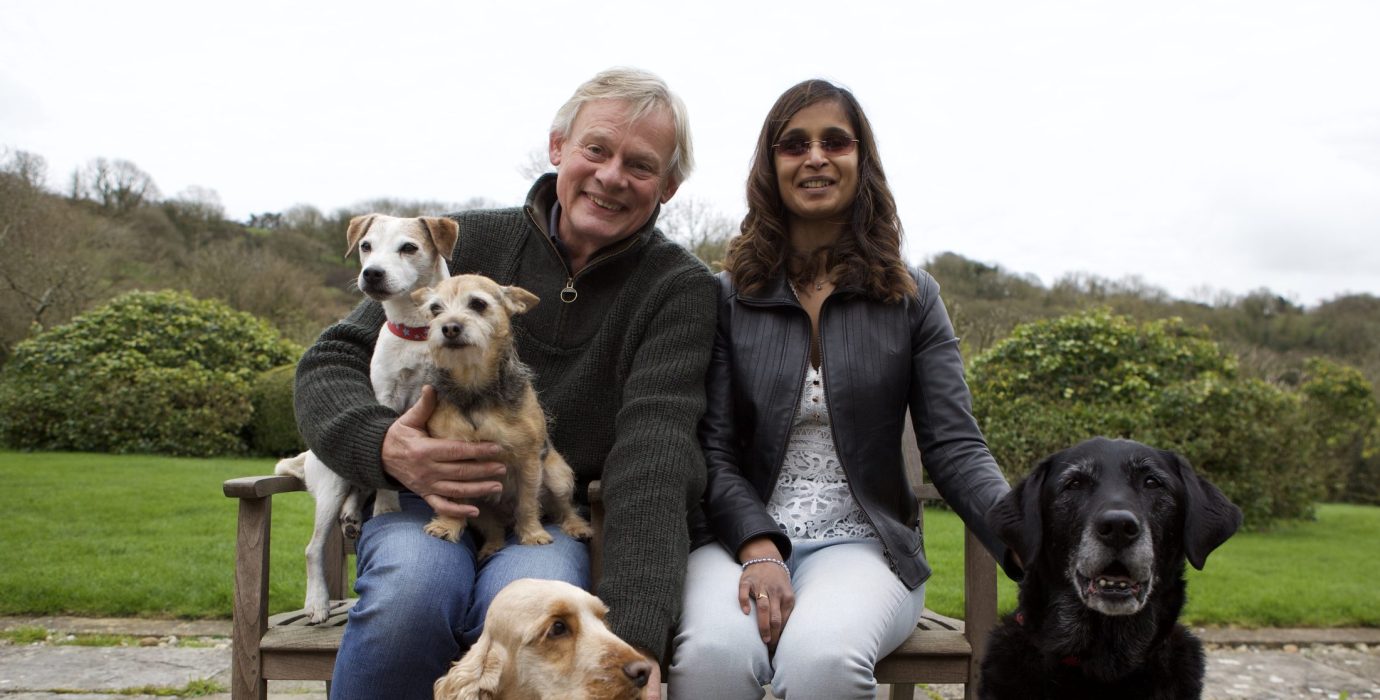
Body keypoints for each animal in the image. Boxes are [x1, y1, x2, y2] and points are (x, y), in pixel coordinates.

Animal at [414, 274, 598, 557]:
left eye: (478, 304)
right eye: (435, 309)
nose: (449, 328)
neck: (475, 389)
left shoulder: (529, 462)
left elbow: (528, 503)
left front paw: (533, 534)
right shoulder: (450, 464)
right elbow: (453, 500)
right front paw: (447, 525)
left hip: (558, 478)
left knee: (565, 509)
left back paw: (577, 527)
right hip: (479, 507)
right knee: (494, 527)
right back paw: (491, 547)